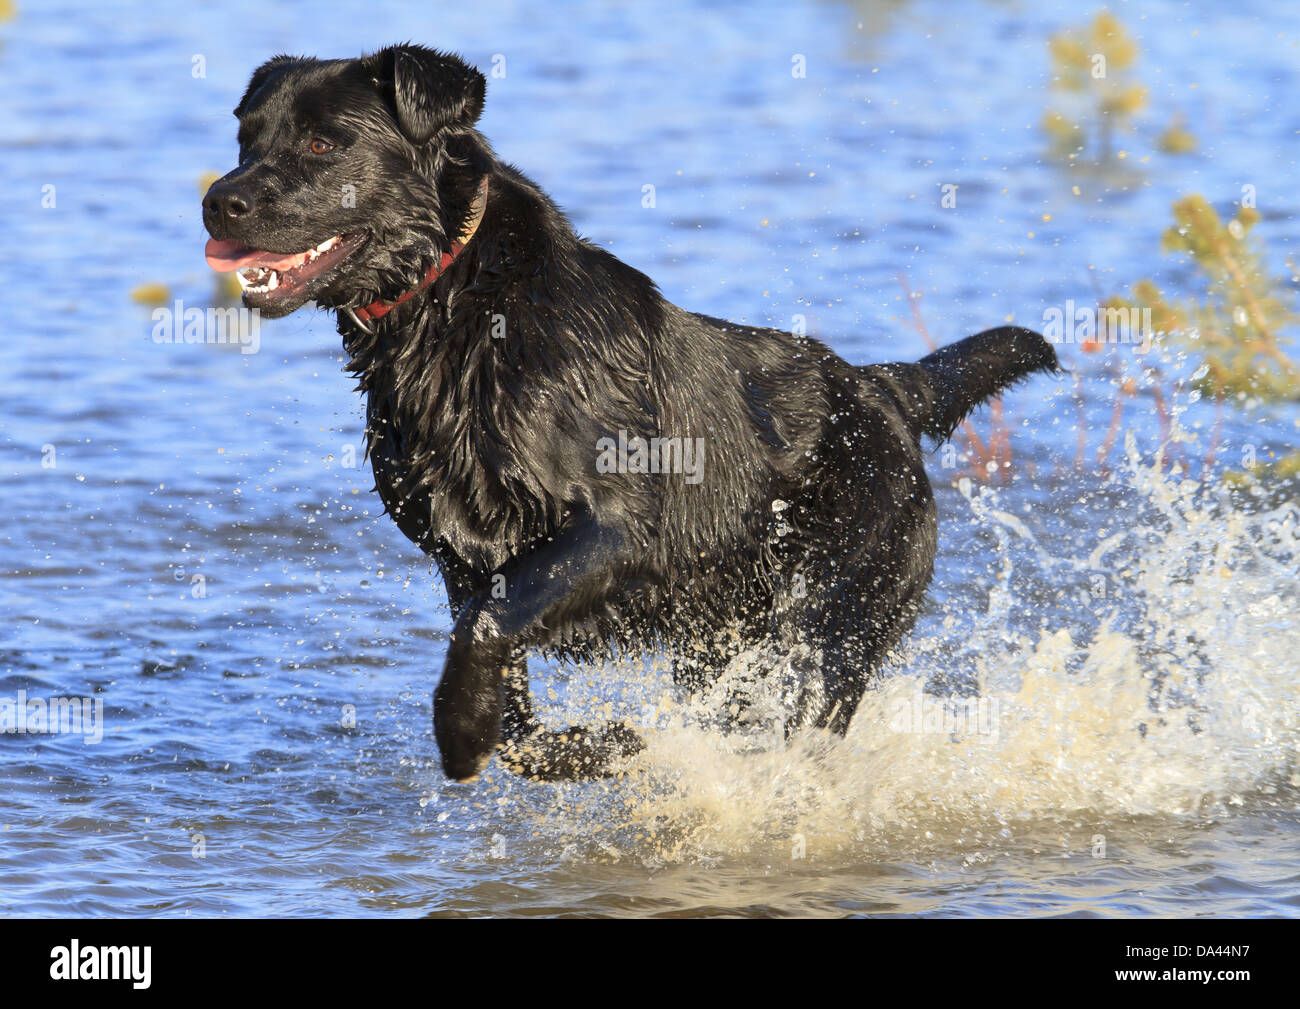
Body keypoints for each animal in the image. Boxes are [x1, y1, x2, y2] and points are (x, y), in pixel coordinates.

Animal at [202, 43, 1055, 785]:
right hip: (719, 634)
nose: (218, 198)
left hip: (834, 619)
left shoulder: (615, 527)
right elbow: (509, 704)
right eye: (245, 137)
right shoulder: (461, 558)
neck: (459, 309)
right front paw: (597, 747)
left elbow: (487, 626)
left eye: (321, 143)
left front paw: (461, 732)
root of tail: (884, 390)